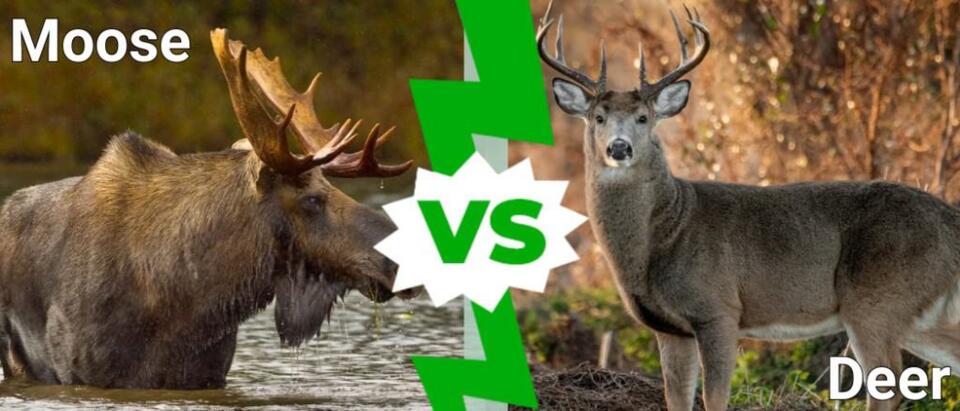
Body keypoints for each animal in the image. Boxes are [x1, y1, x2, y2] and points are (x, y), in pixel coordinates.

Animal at [537, 2, 960, 410]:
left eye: (644, 117)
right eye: (598, 117)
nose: (619, 148)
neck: (665, 233)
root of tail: (949, 220)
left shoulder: (719, 308)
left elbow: (715, 397)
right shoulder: (669, 328)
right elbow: (677, 399)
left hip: (876, 299)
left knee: (888, 386)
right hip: (917, 316)